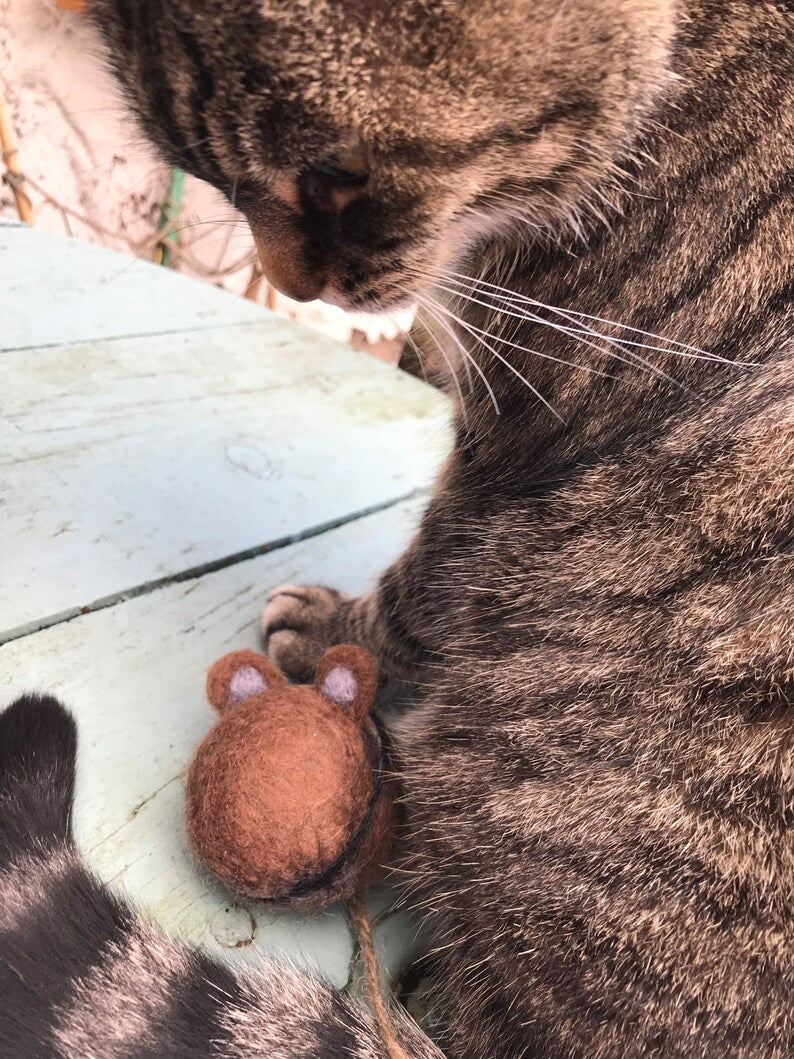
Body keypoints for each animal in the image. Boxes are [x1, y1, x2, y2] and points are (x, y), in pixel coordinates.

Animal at [1, 0, 794, 1054]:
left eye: (336, 179)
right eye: (211, 177)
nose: (291, 285)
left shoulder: (515, 444)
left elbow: (423, 585)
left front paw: (335, 631)